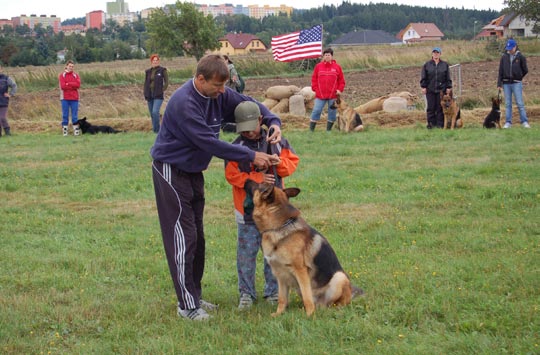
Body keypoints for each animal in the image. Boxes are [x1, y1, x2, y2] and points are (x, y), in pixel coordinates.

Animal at [245, 181, 362, 318]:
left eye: (258, 185)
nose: (247, 180)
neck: (279, 227)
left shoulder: (300, 271)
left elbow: (307, 297)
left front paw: (310, 315)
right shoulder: (280, 275)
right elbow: (282, 298)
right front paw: (279, 314)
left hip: (339, 277)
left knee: (337, 303)